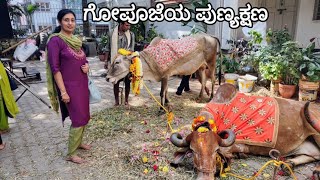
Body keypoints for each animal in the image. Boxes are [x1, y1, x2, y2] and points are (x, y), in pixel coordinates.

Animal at [171, 83, 320, 179]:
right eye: (193, 150)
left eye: (215, 151)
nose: (205, 176)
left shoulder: (240, 143)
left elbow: (228, 150)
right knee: (315, 155)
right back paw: (289, 164)